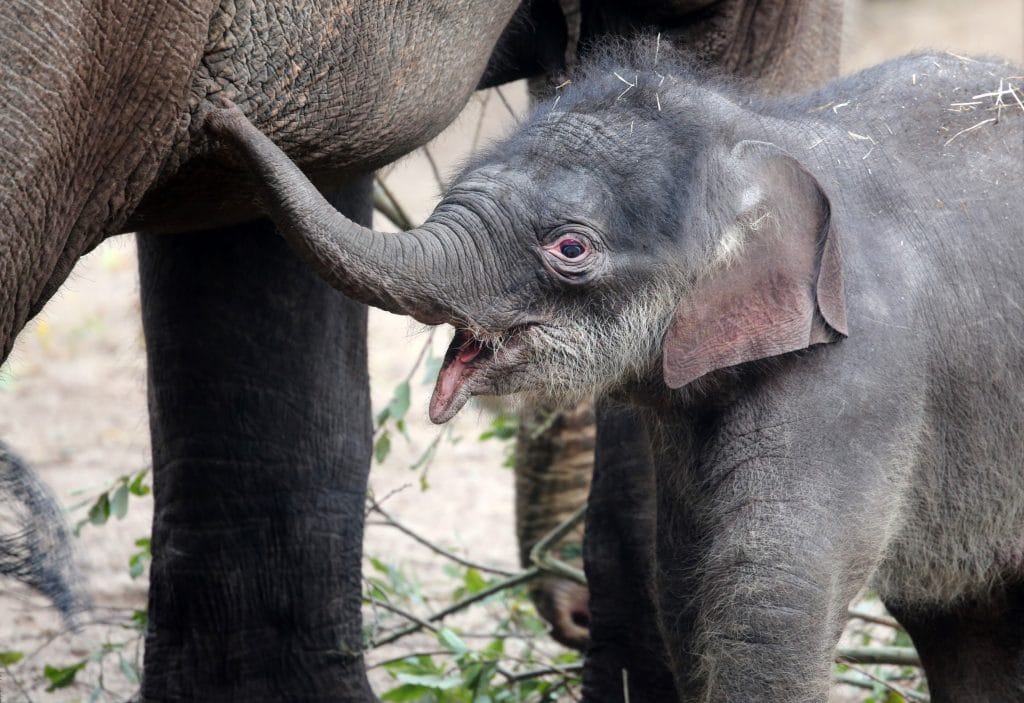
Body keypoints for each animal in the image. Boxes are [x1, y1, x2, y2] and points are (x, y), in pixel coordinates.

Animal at [209, 46, 1024, 699]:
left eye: (570, 248)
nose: (221, 113)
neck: (766, 140)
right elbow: (685, 586)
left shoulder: (858, 373)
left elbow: (769, 595)